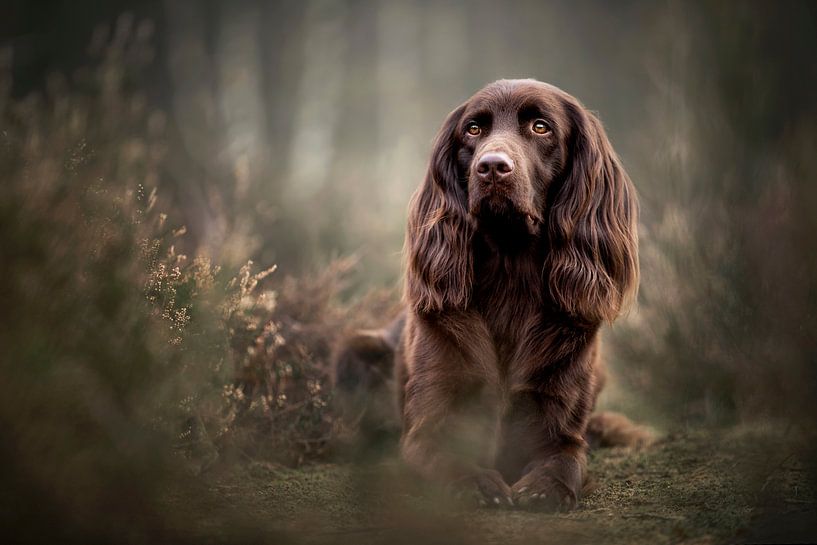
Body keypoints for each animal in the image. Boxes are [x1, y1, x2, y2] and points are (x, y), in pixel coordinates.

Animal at [334, 78, 648, 508]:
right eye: (473, 129)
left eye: (540, 127)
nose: (492, 166)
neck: (510, 274)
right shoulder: (426, 430)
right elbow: (447, 458)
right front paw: (479, 484)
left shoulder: (560, 429)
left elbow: (565, 462)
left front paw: (543, 489)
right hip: (356, 351)